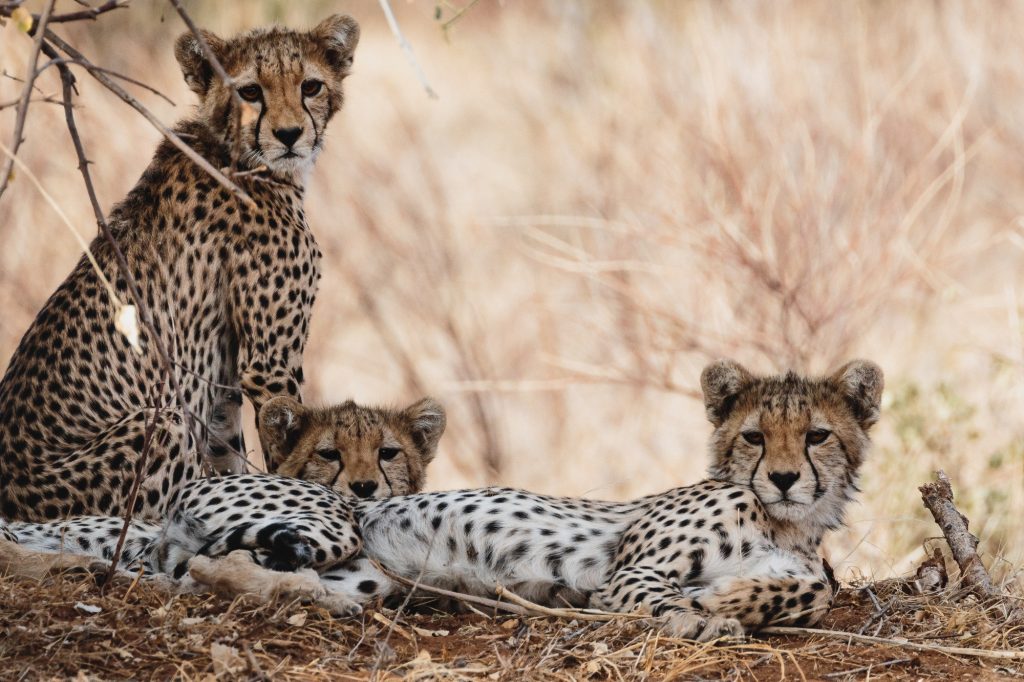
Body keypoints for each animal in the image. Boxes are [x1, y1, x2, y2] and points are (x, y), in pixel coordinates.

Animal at [0, 13, 360, 520]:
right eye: (250, 91)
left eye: (310, 86)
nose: (289, 135)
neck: (237, 154)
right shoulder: (269, 364)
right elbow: (285, 443)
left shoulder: (224, 375)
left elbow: (229, 449)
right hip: (161, 422)